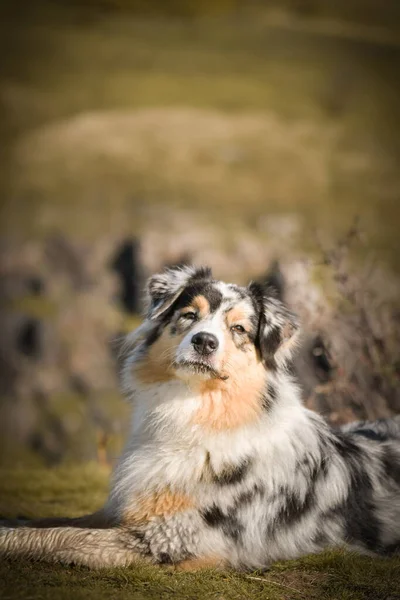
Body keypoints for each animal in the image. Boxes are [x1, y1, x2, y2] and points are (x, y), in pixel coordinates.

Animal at [0, 264, 400, 568]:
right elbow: (51, 522)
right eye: (190, 315)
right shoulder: (127, 510)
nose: (204, 341)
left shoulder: (173, 539)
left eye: (238, 329)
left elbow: (60, 536)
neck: (194, 409)